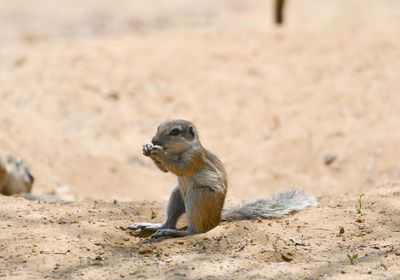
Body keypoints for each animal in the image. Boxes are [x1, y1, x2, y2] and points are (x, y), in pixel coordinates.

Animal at [128, 119, 316, 240]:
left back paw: (172, 233)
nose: (153, 140)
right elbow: (165, 170)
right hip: (177, 195)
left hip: (196, 197)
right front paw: (147, 149)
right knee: (170, 222)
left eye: (175, 132)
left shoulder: (193, 158)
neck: (178, 151)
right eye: (158, 127)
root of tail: (217, 218)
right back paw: (152, 227)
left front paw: (158, 152)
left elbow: (178, 168)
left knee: (195, 231)